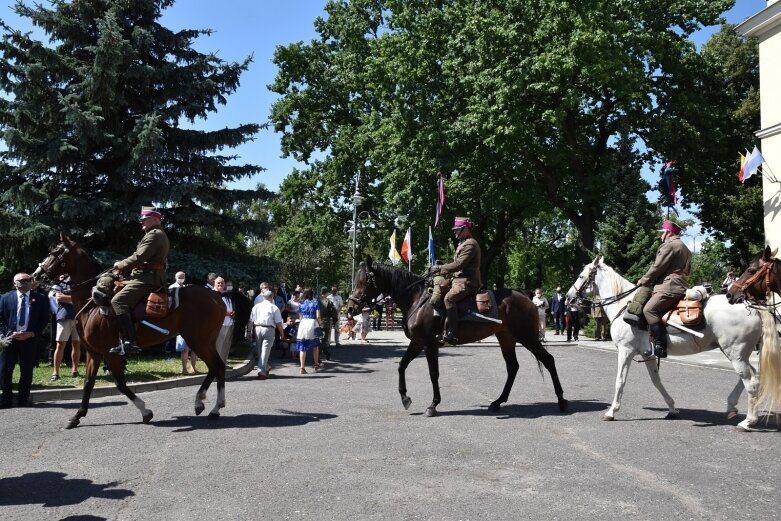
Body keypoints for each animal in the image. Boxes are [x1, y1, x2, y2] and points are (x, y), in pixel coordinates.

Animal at [33, 236, 229, 426]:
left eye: (55, 252)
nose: (36, 274)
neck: (92, 304)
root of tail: (217, 298)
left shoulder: (110, 353)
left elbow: (120, 383)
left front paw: (145, 411)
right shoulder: (93, 353)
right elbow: (88, 383)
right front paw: (77, 416)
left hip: (197, 340)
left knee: (216, 366)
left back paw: (211, 406)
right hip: (206, 341)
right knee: (216, 366)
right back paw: (207, 404)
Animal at [348, 258, 568, 416]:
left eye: (364, 281)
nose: (350, 308)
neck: (418, 300)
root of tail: (525, 296)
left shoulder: (429, 344)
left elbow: (433, 373)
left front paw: (433, 405)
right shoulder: (417, 342)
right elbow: (402, 365)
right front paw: (405, 398)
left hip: (527, 337)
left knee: (548, 360)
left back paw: (562, 400)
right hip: (506, 338)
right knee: (513, 367)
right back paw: (497, 401)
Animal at [568, 256, 780, 430]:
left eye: (581, 275)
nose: (569, 297)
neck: (624, 305)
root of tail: (752, 306)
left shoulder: (625, 351)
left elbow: (620, 381)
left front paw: (611, 412)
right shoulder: (648, 354)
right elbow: (657, 381)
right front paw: (672, 408)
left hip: (734, 353)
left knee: (751, 381)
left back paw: (748, 421)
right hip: (737, 353)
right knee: (752, 376)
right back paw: (731, 406)